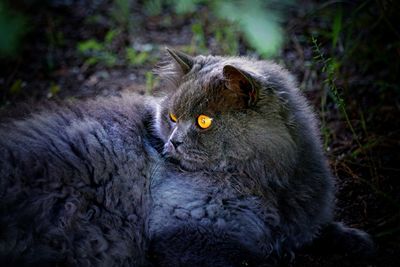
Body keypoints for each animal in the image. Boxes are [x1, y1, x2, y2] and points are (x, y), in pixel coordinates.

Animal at [0, 49, 376, 266]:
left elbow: (319, 232)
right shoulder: (187, 231)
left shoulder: (300, 220)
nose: (173, 143)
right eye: (173, 118)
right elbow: (264, 261)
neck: (270, 181)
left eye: (205, 121)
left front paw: (357, 242)